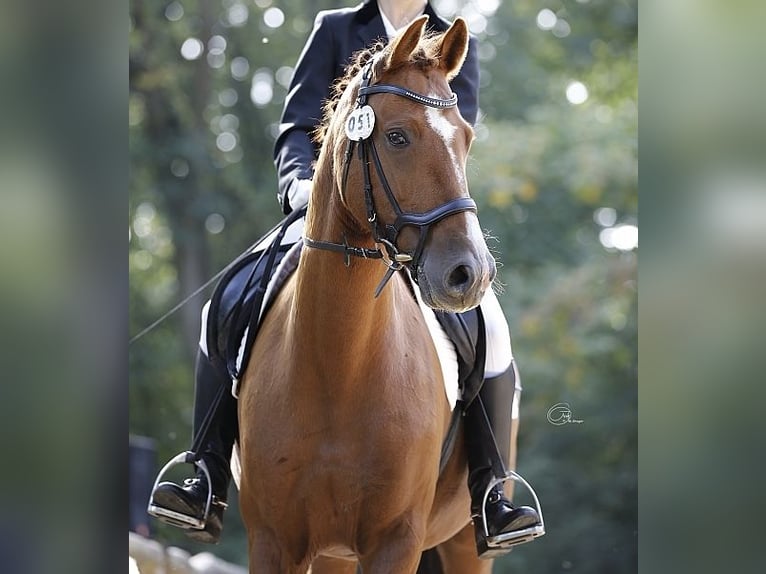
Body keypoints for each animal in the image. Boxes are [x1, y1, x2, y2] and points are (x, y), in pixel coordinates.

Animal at [242, 15, 504, 572]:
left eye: (467, 138)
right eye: (398, 137)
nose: (470, 274)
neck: (340, 363)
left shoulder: (396, 539)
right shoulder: (272, 539)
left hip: (464, 542)